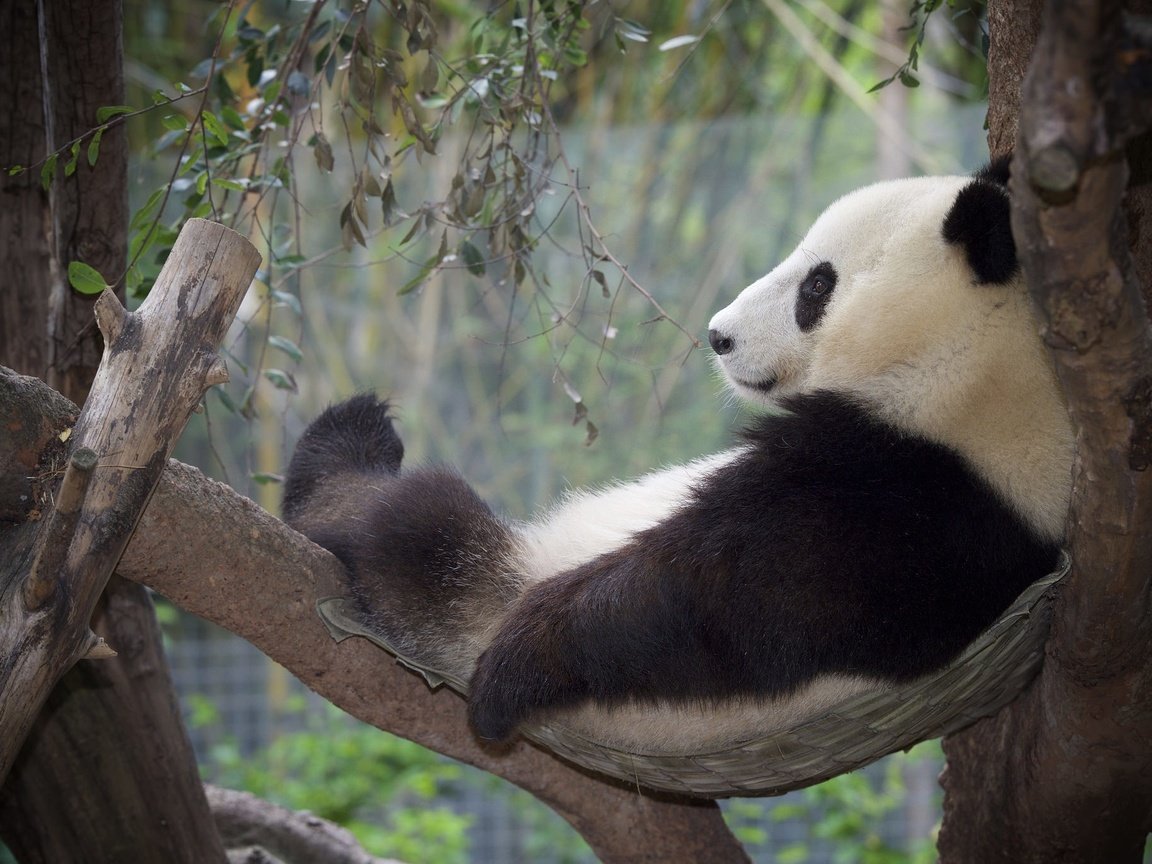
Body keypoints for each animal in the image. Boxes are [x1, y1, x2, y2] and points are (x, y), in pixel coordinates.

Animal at [283, 158, 1073, 755]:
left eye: (817, 285)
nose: (719, 336)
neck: (972, 368)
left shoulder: (910, 500)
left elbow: (713, 600)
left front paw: (517, 666)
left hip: (491, 579)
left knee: (417, 528)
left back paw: (348, 457)